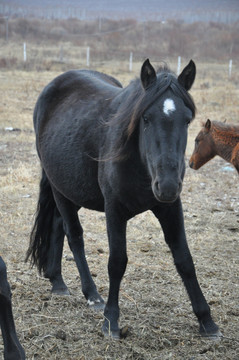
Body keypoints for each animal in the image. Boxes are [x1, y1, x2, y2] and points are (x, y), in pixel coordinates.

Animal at [25, 57, 221, 338]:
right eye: (146, 118)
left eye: (186, 121)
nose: (168, 185)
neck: (139, 162)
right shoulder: (115, 210)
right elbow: (117, 262)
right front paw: (111, 320)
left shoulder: (170, 207)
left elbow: (184, 259)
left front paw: (207, 321)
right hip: (59, 189)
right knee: (74, 236)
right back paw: (92, 294)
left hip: (71, 190)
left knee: (57, 226)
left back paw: (58, 282)